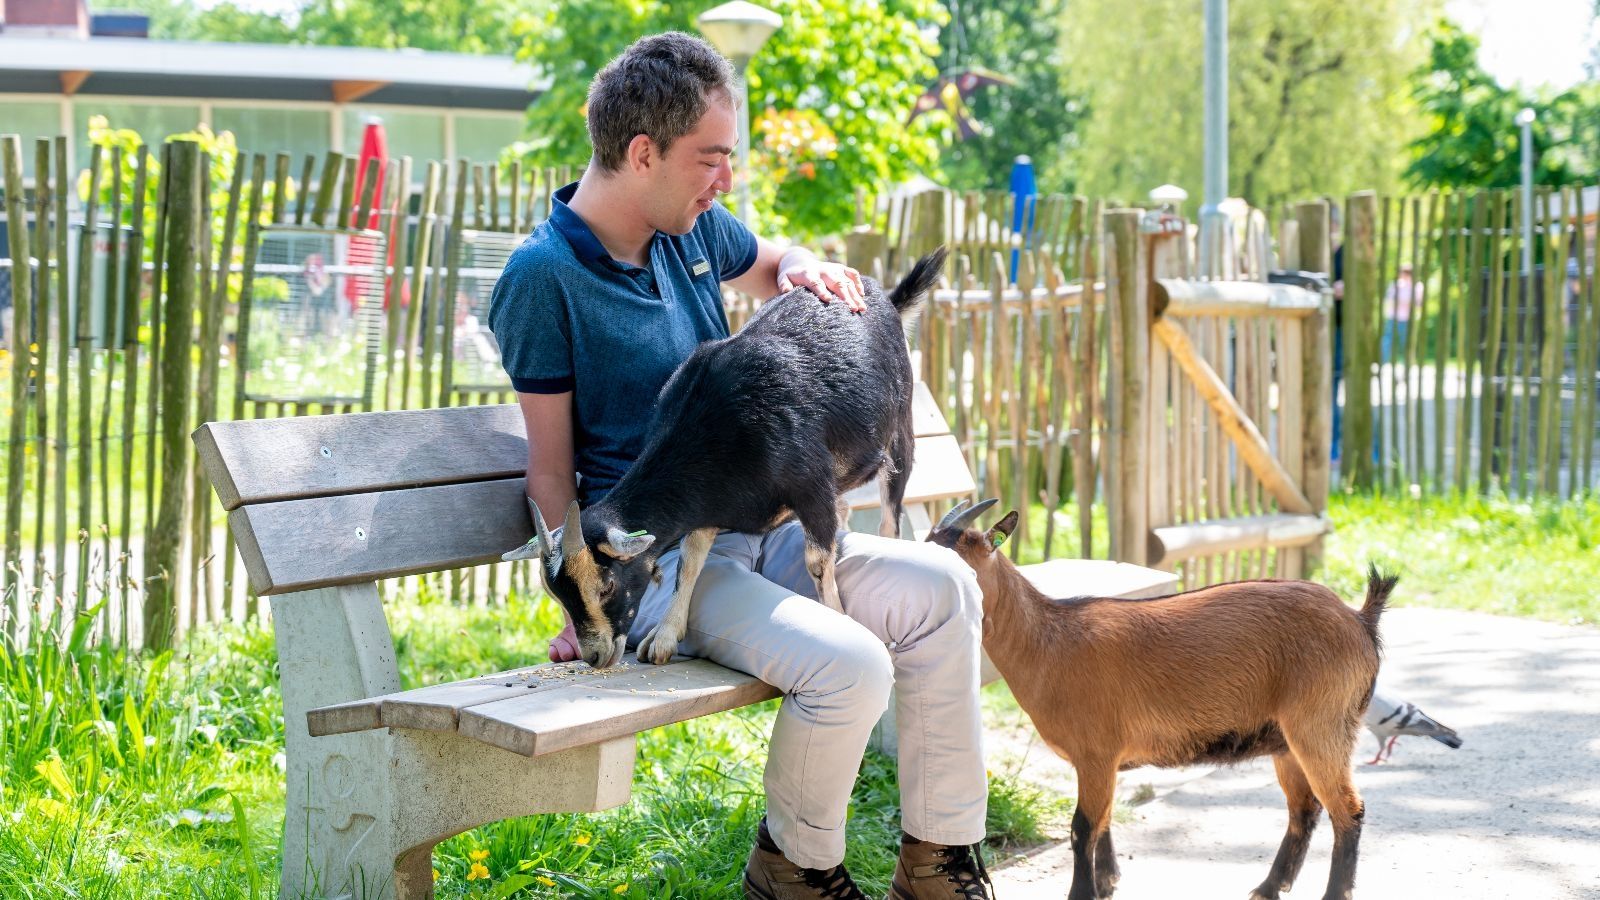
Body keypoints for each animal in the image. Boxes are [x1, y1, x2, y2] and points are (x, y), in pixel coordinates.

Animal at [505, 245, 940, 666]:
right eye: (557, 595)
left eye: (607, 585)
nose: (595, 655)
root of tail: (884, 296)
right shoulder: (711, 500)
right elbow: (690, 559)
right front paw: (665, 636)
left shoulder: (811, 484)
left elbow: (817, 560)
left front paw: (837, 617)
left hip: (901, 429)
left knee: (890, 510)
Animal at [934, 496, 1395, 896]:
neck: (1049, 642)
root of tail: (1360, 619)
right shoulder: (1103, 760)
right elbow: (1103, 820)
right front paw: (1108, 882)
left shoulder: (1096, 753)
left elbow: (1083, 828)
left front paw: (1085, 892)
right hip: (1287, 741)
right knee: (1305, 809)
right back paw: (1267, 888)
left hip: (1320, 726)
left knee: (1348, 810)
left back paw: (1329, 893)